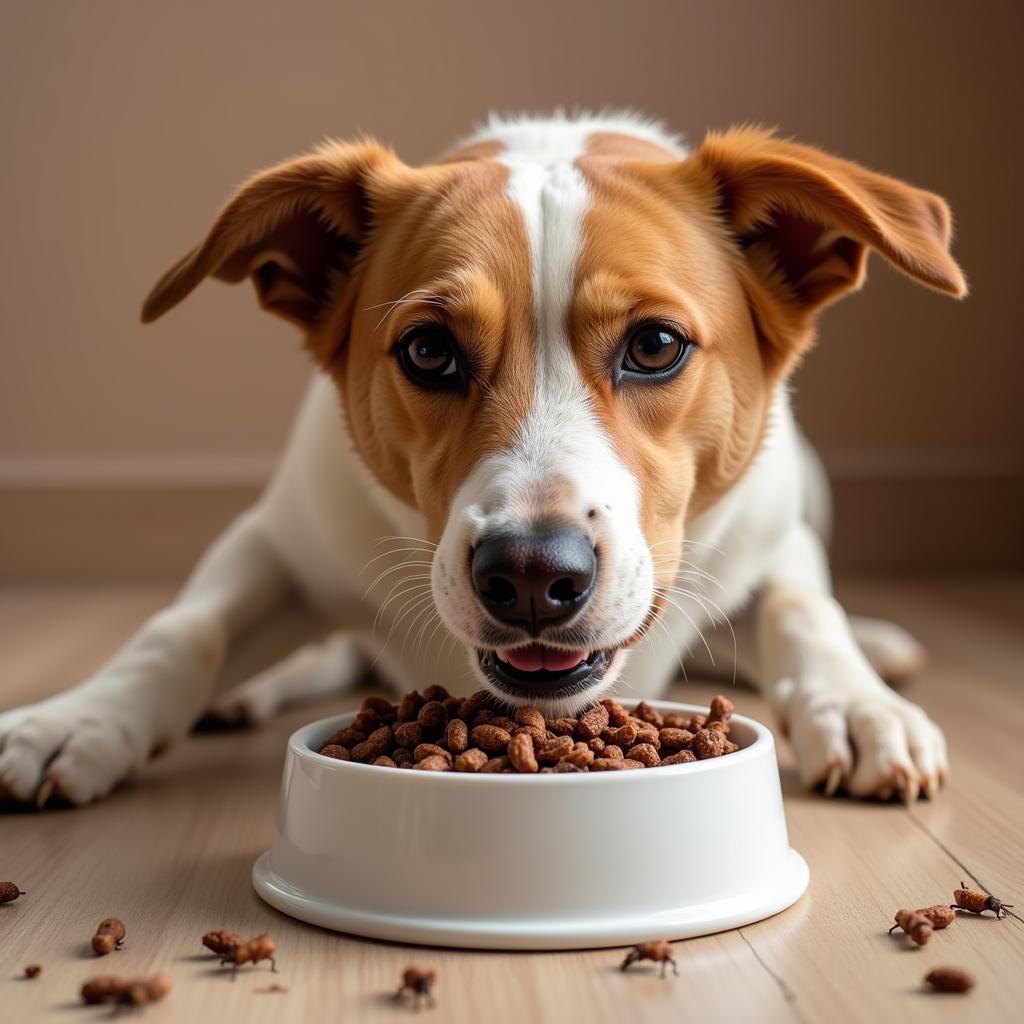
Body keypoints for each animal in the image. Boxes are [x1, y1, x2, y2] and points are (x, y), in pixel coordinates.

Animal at [0, 114, 962, 806]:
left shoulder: (774, 528)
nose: (532, 575)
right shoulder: (280, 536)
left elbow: (802, 607)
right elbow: (183, 629)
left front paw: (858, 705)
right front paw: (76, 721)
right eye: (428, 352)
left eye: (656, 345)